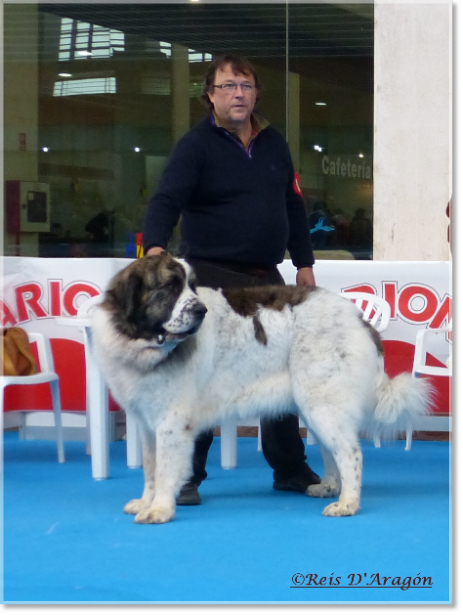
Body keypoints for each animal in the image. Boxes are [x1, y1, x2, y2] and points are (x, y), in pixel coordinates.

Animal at [90, 254, 432, 524]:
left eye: (190, 287)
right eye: (171, 288)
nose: (201, 311)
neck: (142, 340)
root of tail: (358, 318)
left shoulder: (171, 423)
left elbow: (164, 470)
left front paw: (160, 509)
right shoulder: (147, 423)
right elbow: (150, 468)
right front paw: (146, 502)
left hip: (322, 403)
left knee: (350, 452)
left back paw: (347, 503)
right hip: (315, 405)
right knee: (332, 450)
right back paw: (329, 487)